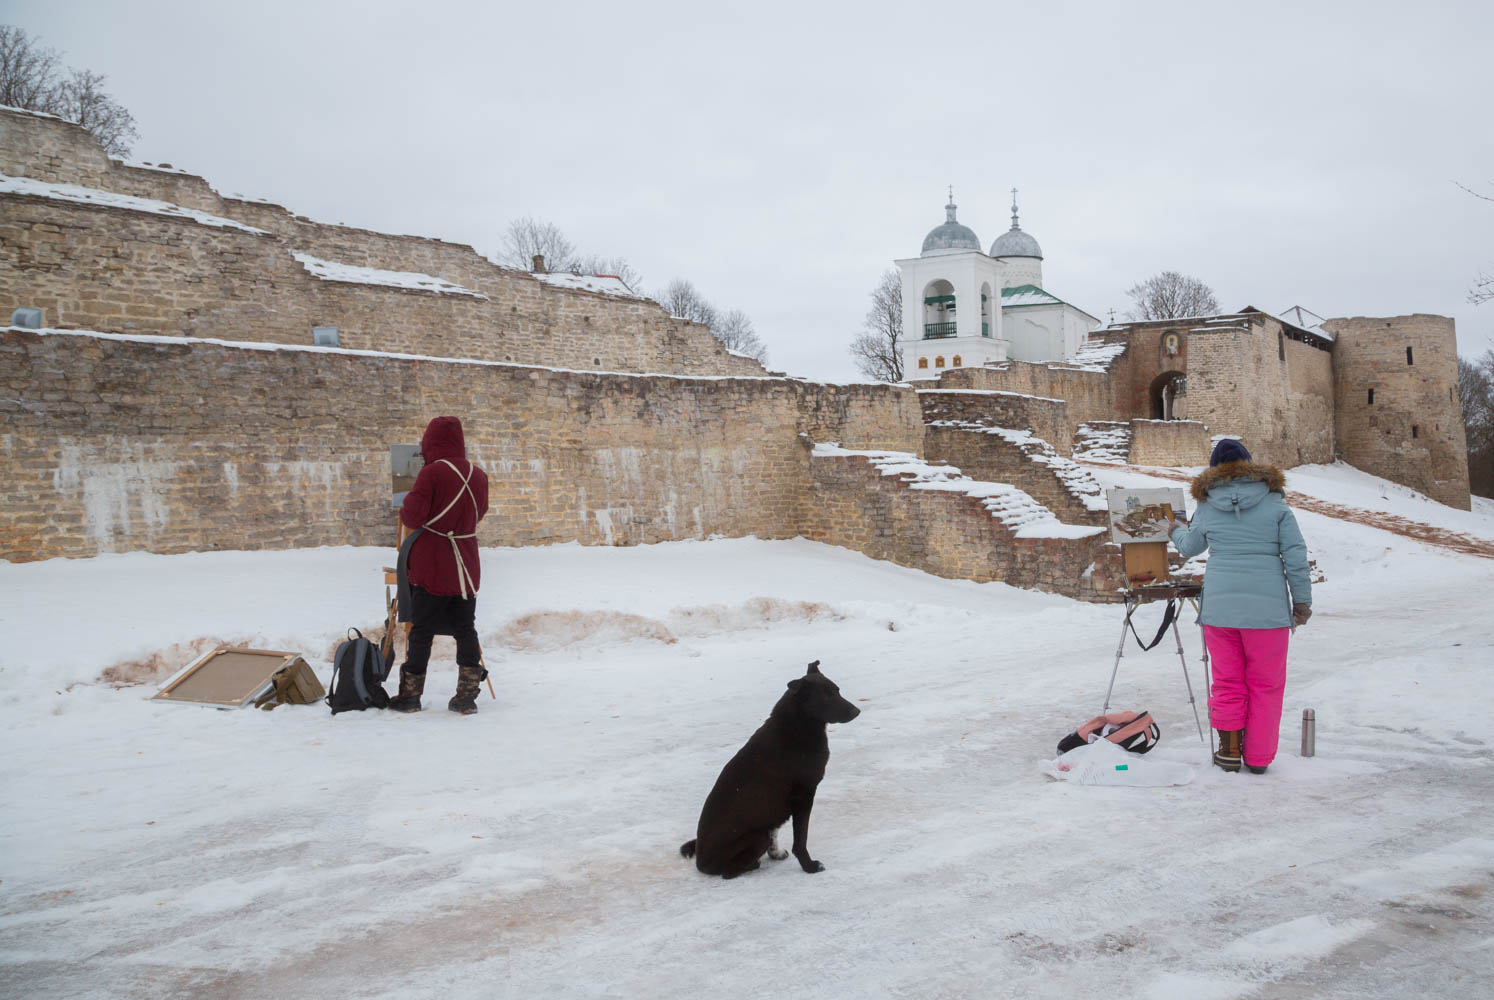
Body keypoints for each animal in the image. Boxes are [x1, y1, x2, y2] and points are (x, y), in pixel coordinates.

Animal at [681, 657, 860, 878]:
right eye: (826, 697)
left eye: (837, 690)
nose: (857, 711)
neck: (798, 725)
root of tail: (701, 863)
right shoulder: (803, 794)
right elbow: (800, 840)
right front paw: (809, 866)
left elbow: (777, 829)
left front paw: (776, 853)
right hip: (758, 836)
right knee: (728, 872)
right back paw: (752, 865)